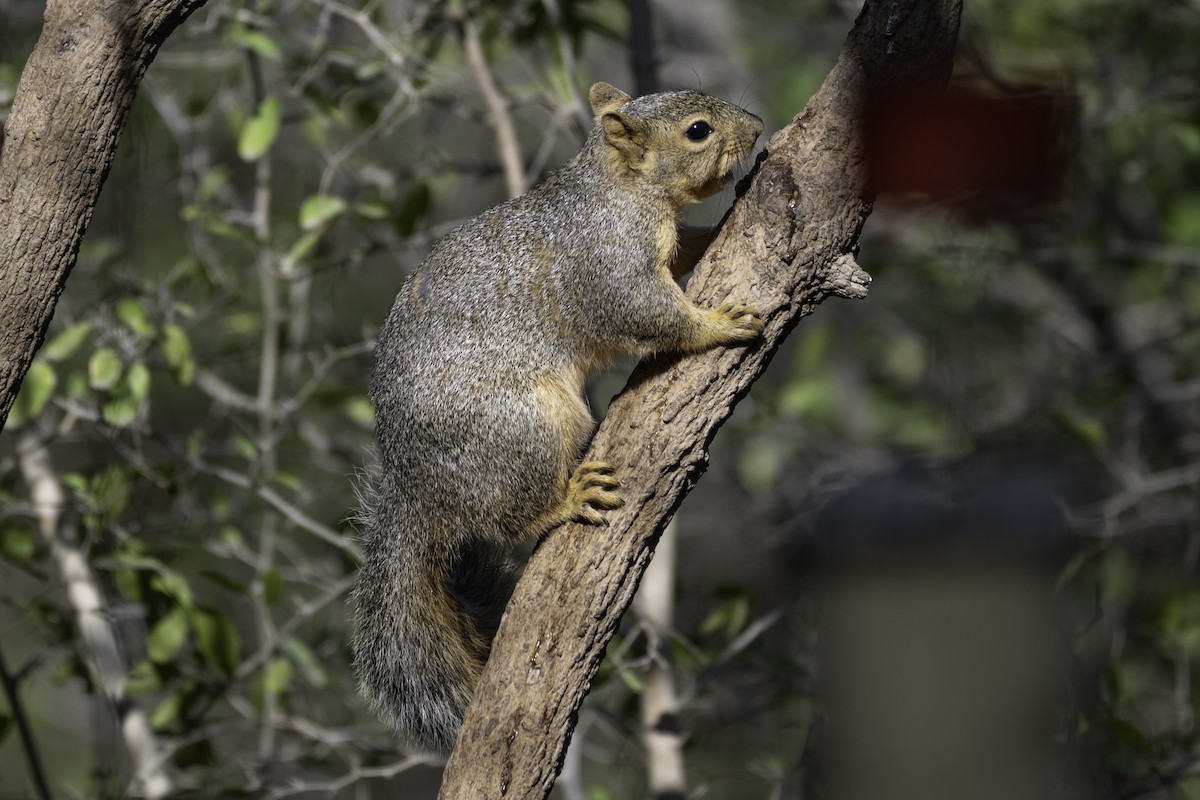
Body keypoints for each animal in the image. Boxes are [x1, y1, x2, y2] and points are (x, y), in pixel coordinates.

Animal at [352, 81, 764, 755]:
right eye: (698, 131)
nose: (756, 129)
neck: (617, 188)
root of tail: (417, 487)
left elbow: (685, 251)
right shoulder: (607, 263)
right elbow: (650, 312)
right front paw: (717, 324)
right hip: (530, 426)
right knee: (509, 516)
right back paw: (565, 499)